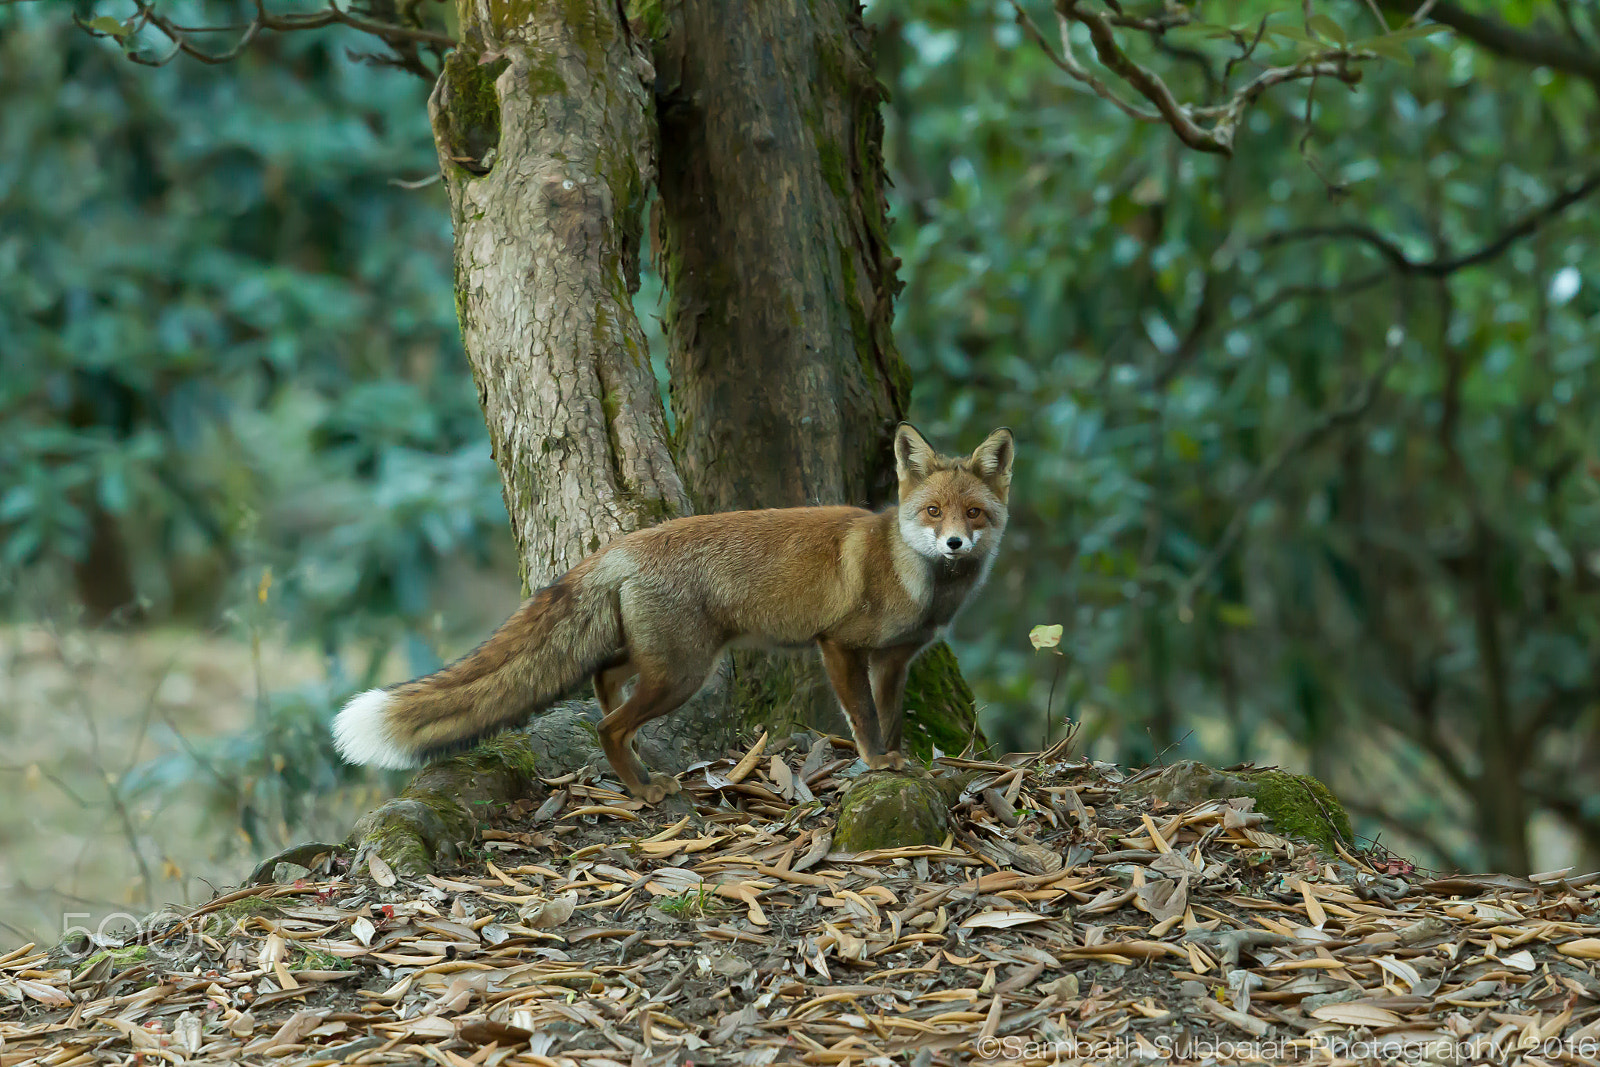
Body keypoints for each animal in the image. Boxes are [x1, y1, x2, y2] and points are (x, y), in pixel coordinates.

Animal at [332, 422, 1017, 796]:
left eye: (973, 513)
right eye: (933, 512)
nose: (955, 544)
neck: (916, 578)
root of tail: (619, 546)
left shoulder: (896, 660)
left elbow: (893, 716)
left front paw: (902, 761)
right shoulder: (840, 645)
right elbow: (866, 720)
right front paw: (878, 764)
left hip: (659, 659)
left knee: (605, 679)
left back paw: (634, 762)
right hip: (686, 672)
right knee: (609, 724)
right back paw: (640, 788)